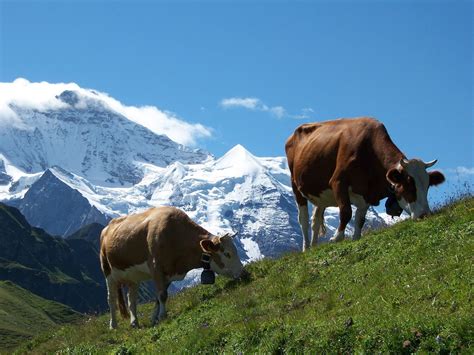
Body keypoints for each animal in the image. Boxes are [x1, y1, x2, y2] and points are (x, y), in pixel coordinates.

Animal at [99, 207, 241, 330]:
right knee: (111, 299)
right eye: (227, 254)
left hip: (133, 277)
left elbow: (159, 297)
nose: (242, 272)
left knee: (131, 299)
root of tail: (106, 228)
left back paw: (134, 323)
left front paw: (154, 319)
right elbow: (162, 295)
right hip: (107, 271)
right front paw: (163, 316)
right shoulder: (156, 268)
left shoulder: (168, 274)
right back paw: (113, 325)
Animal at [286, 117, 444, 250]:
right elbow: (346, 212)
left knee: (316, 219)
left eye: (427, 186)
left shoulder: (366, 193)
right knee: (303, 219)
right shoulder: (338, 182)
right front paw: (337, 237)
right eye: (408, 184)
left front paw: (356, 237)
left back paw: (314, 247)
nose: (424, 215)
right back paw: (306, 248)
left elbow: (360, 219)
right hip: (296, 185)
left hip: (321, 195)